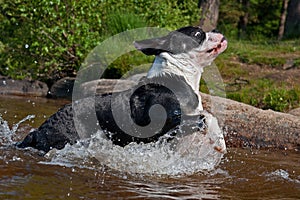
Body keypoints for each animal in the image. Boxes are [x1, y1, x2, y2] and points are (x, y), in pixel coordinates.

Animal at [16, 25, 227, 152]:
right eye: (199, 34)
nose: (216, 28)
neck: (176, 73)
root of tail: (39, 131)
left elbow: (207, 115)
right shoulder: (170, 120)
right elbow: (206, 117)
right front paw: (219, 142)